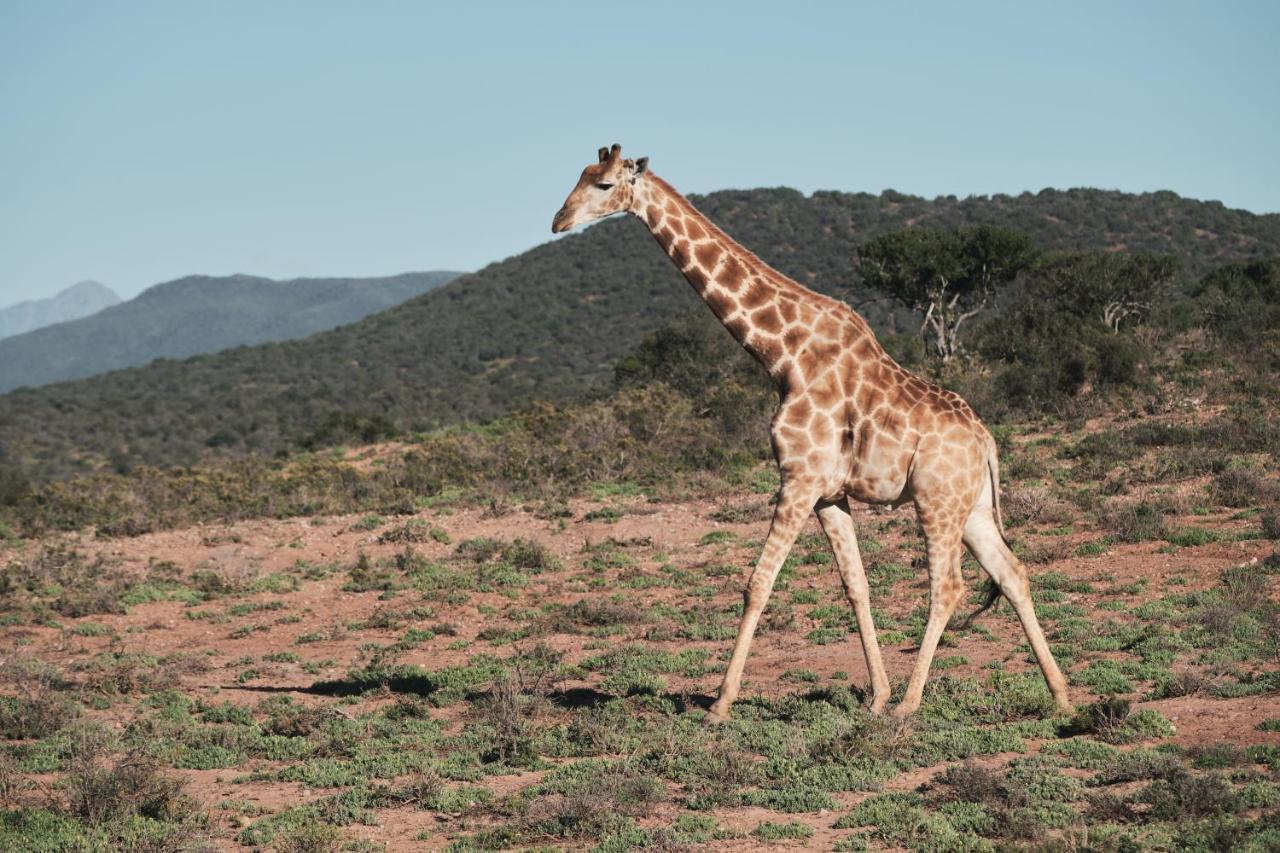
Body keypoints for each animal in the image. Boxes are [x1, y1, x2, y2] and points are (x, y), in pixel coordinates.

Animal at [550, 144, 1070, 717]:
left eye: (602, 184)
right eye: (581, 175)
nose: (558, 221)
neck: (783, 355)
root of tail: (987, 442)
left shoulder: (797, 479)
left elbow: (758, 583)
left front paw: (720, 704)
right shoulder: (828, 493)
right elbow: (856, 585)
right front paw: (875, 696)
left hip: (936, 499)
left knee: (948, 586)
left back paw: (911, 705)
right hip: (971, 508)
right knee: (1011, 572)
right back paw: (1061, 696)